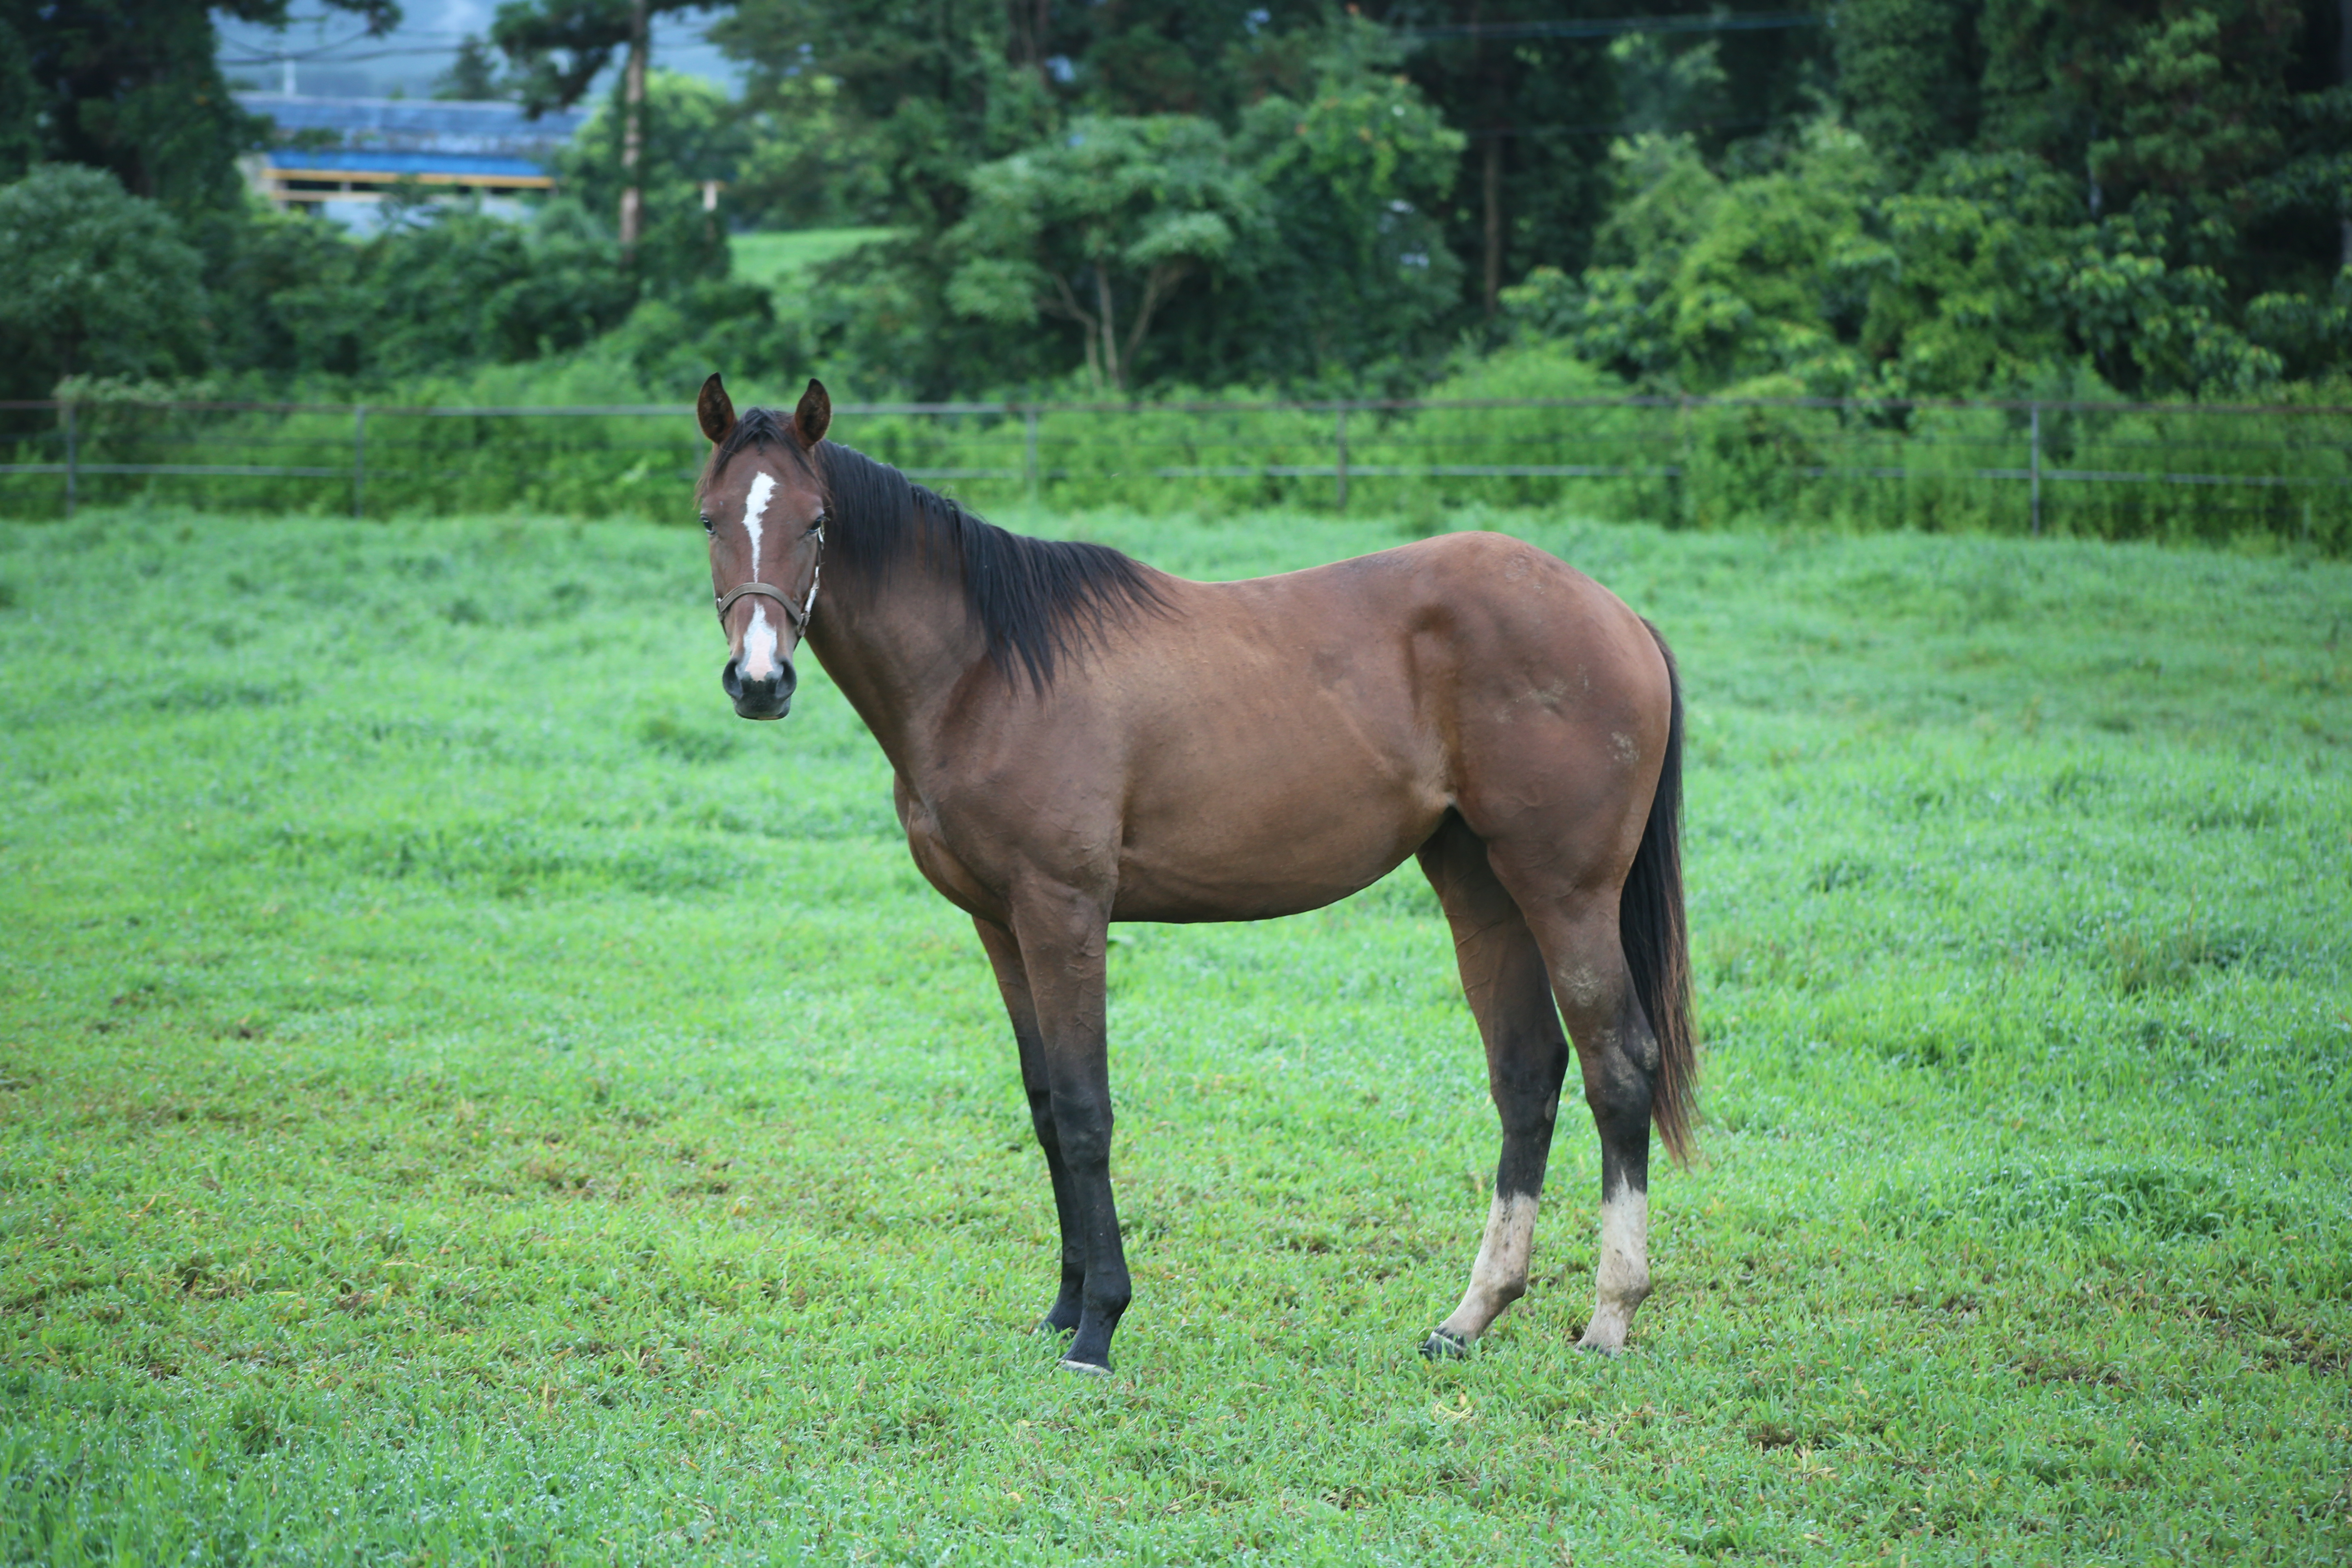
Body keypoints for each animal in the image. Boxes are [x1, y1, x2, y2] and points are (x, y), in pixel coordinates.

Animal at [686, 376, 1703, 1373]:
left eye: (818, 521)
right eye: (708, 518)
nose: (759, 681)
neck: (988, 671)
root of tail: (1618, 615)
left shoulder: (1064, 912)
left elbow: (1087, 1111)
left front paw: (1098, 1326)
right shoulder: (999, 923)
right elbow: (1047, 1109)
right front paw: (1061, 1309)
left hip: (1566, 893)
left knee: (1619, 1067)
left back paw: (1611, 1316)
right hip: (1483, 888)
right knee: (1528, 1077)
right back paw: (1469, 1317)